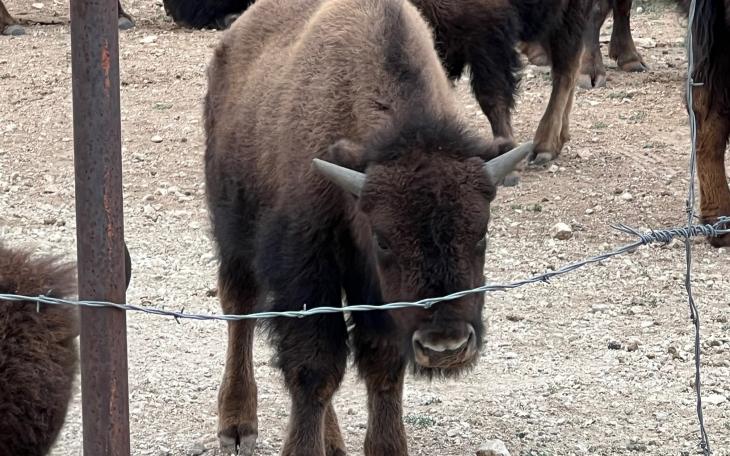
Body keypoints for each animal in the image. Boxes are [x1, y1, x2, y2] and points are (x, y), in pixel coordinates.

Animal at [203, 0, 528, 454]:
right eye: (384, 240)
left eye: (481, 233)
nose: (444, 345)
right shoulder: (307, 271)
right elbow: (315, 369)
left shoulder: (374, 294)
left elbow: (382, 365)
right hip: (233, 230)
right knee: (240, 309)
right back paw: (237, 426)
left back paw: (333, 439)